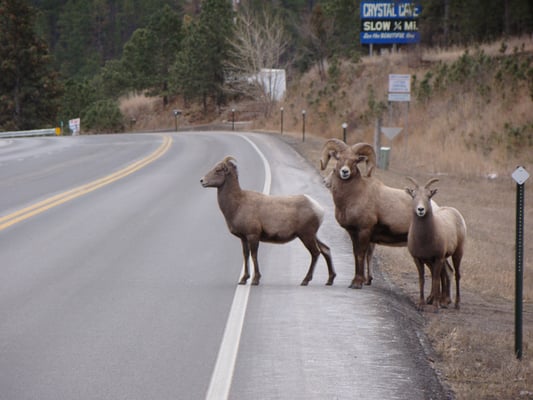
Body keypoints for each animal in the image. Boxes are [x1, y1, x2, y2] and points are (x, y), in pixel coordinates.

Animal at [202, 155, 334, 286]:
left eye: (218, 170)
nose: (202, 181)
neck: (238, 205)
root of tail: (319, 209)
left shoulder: (253, 236)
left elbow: (254, 255)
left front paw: (255, 280)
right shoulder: (243, 238)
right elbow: (246, 255)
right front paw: (243, 279)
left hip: (306, 235)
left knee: (316, 253)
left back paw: (305, 280)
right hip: (313, 235)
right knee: (326, 250)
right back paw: (329, 280)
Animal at [408, 177, 466, 310]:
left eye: (428, 196)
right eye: (414, 195)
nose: (420, 209)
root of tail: (456, 213)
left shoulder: (438, 258)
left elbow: (435, 279)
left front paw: (435, 306)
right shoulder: (418, 259)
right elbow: (422, 279)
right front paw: (421, 304)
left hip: (457, 253)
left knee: (457, 274)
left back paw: (456, 304)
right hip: (440, 259)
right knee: (448, 272)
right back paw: (444, 302)